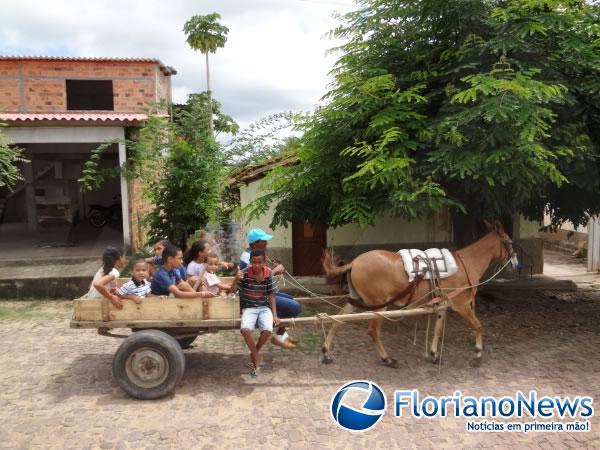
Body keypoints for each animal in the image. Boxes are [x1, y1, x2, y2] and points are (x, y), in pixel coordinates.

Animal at [322, 221, 512, 366]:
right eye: (509, 242)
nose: (514, 261)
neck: (465, 264)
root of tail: (355, 262)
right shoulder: (462, 305)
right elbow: (478, 326)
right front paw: (478, 354)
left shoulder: (442, 306)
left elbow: (438, 331)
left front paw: (434, 354)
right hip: (380, 306)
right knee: (373, 331)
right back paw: (387, 359)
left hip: (356, 299)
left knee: (337, 320)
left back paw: (326, 352)